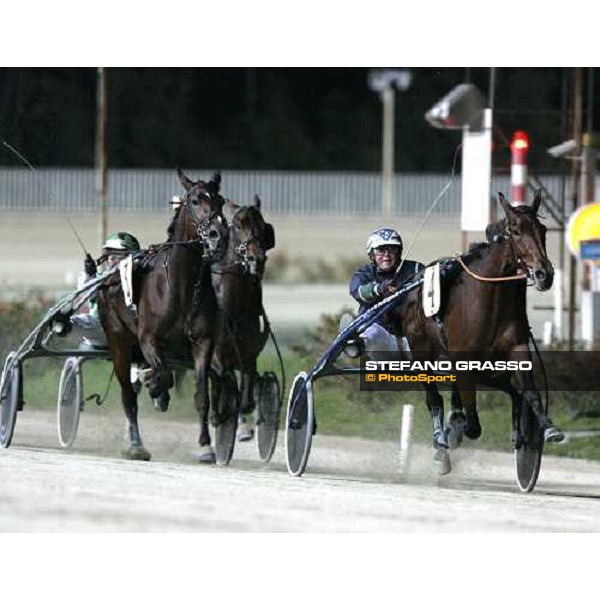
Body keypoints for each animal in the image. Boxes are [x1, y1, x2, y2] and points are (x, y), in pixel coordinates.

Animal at [97, 171, 229, 462]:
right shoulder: (148, 339)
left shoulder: (203, 342)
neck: (181, 287)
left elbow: (202, 394)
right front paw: (156, 387)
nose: (218, 235)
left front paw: (206, 446)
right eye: (194, 200)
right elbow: (163, 375)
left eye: (221, 201)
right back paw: (136, 445)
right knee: (128, 396)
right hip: (119, 341)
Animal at [211, 197, 276, 446]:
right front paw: (236, 425)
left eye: (264, 227)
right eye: (238, 225)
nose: (256, 259)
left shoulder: (249, 353)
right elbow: (228, 382)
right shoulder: (218, 355)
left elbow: (247, 389)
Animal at [390, 190, 564, 476]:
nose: (544, 273)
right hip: (421, 350)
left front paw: (545, 429)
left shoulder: (516, 347)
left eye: (542, 229)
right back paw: (442, 445)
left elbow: (528, 391)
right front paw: (455, 431)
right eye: (516, 230)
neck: (491, 298)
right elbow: (471, 420)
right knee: (434, 399)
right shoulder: (463, 358)